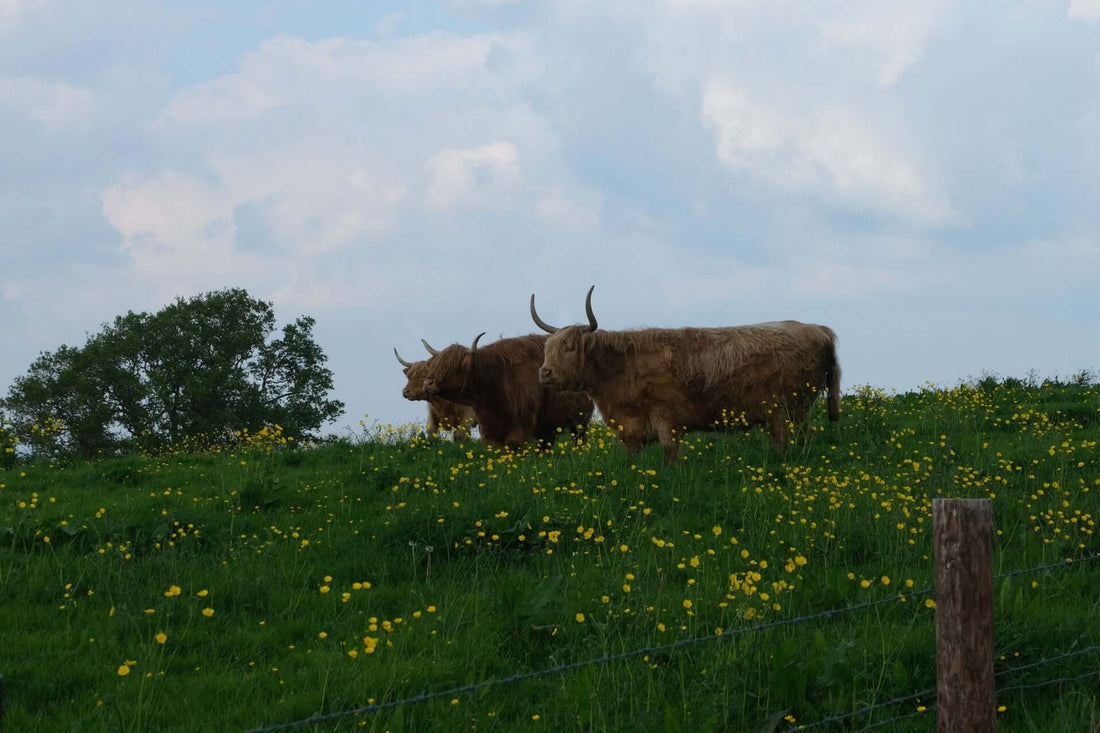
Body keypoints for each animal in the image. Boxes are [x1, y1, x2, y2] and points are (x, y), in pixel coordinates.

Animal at [420, 333, 594, 449]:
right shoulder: (490, 432)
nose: (427, 383)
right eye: (435, 365)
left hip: (580, 423)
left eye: (454, 367)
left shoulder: (522, 431)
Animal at [530, 286, 840, 465]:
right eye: (547, 348)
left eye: (569, 347)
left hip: (791, 409)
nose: (544, 373)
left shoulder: (665, 416)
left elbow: (670, 454)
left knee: (796, 440)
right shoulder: (631, 428)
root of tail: (817, 328)